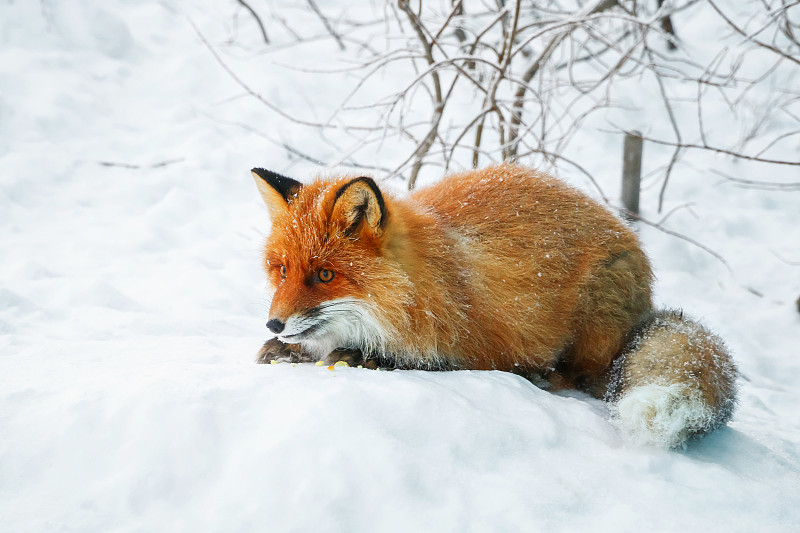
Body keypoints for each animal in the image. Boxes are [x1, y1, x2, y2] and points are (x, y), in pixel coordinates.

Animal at [250, 163, 736, 448]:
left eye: (324, 276)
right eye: (281, 270)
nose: (275, 324)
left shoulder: (476, 344)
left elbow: (422, 361)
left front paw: (363, 357)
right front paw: (287, 351)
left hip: (595, 320)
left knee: (582, 378)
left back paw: (544, 376)